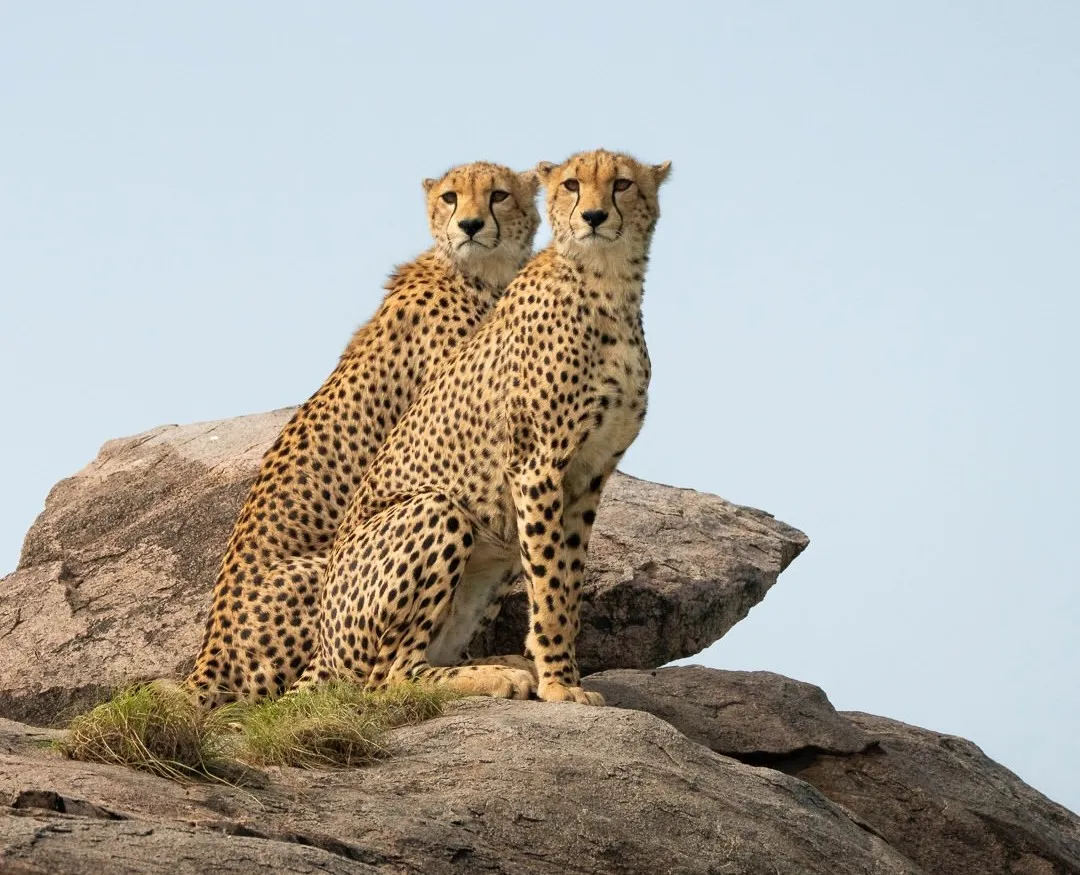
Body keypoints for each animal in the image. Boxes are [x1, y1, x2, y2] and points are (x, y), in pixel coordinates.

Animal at [297, 149, 671, 705]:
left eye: (622, 184)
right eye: (571, 184)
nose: (593, 216)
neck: (607, 286)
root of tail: (321, 646)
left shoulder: (588, 477)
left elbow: (567, 582)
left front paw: (563, 675)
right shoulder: (537, 466)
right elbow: (551, 586)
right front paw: (559, 684)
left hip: (497, 546)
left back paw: (500, 663)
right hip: (438, 510)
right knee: (386, 679)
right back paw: (494, 676)